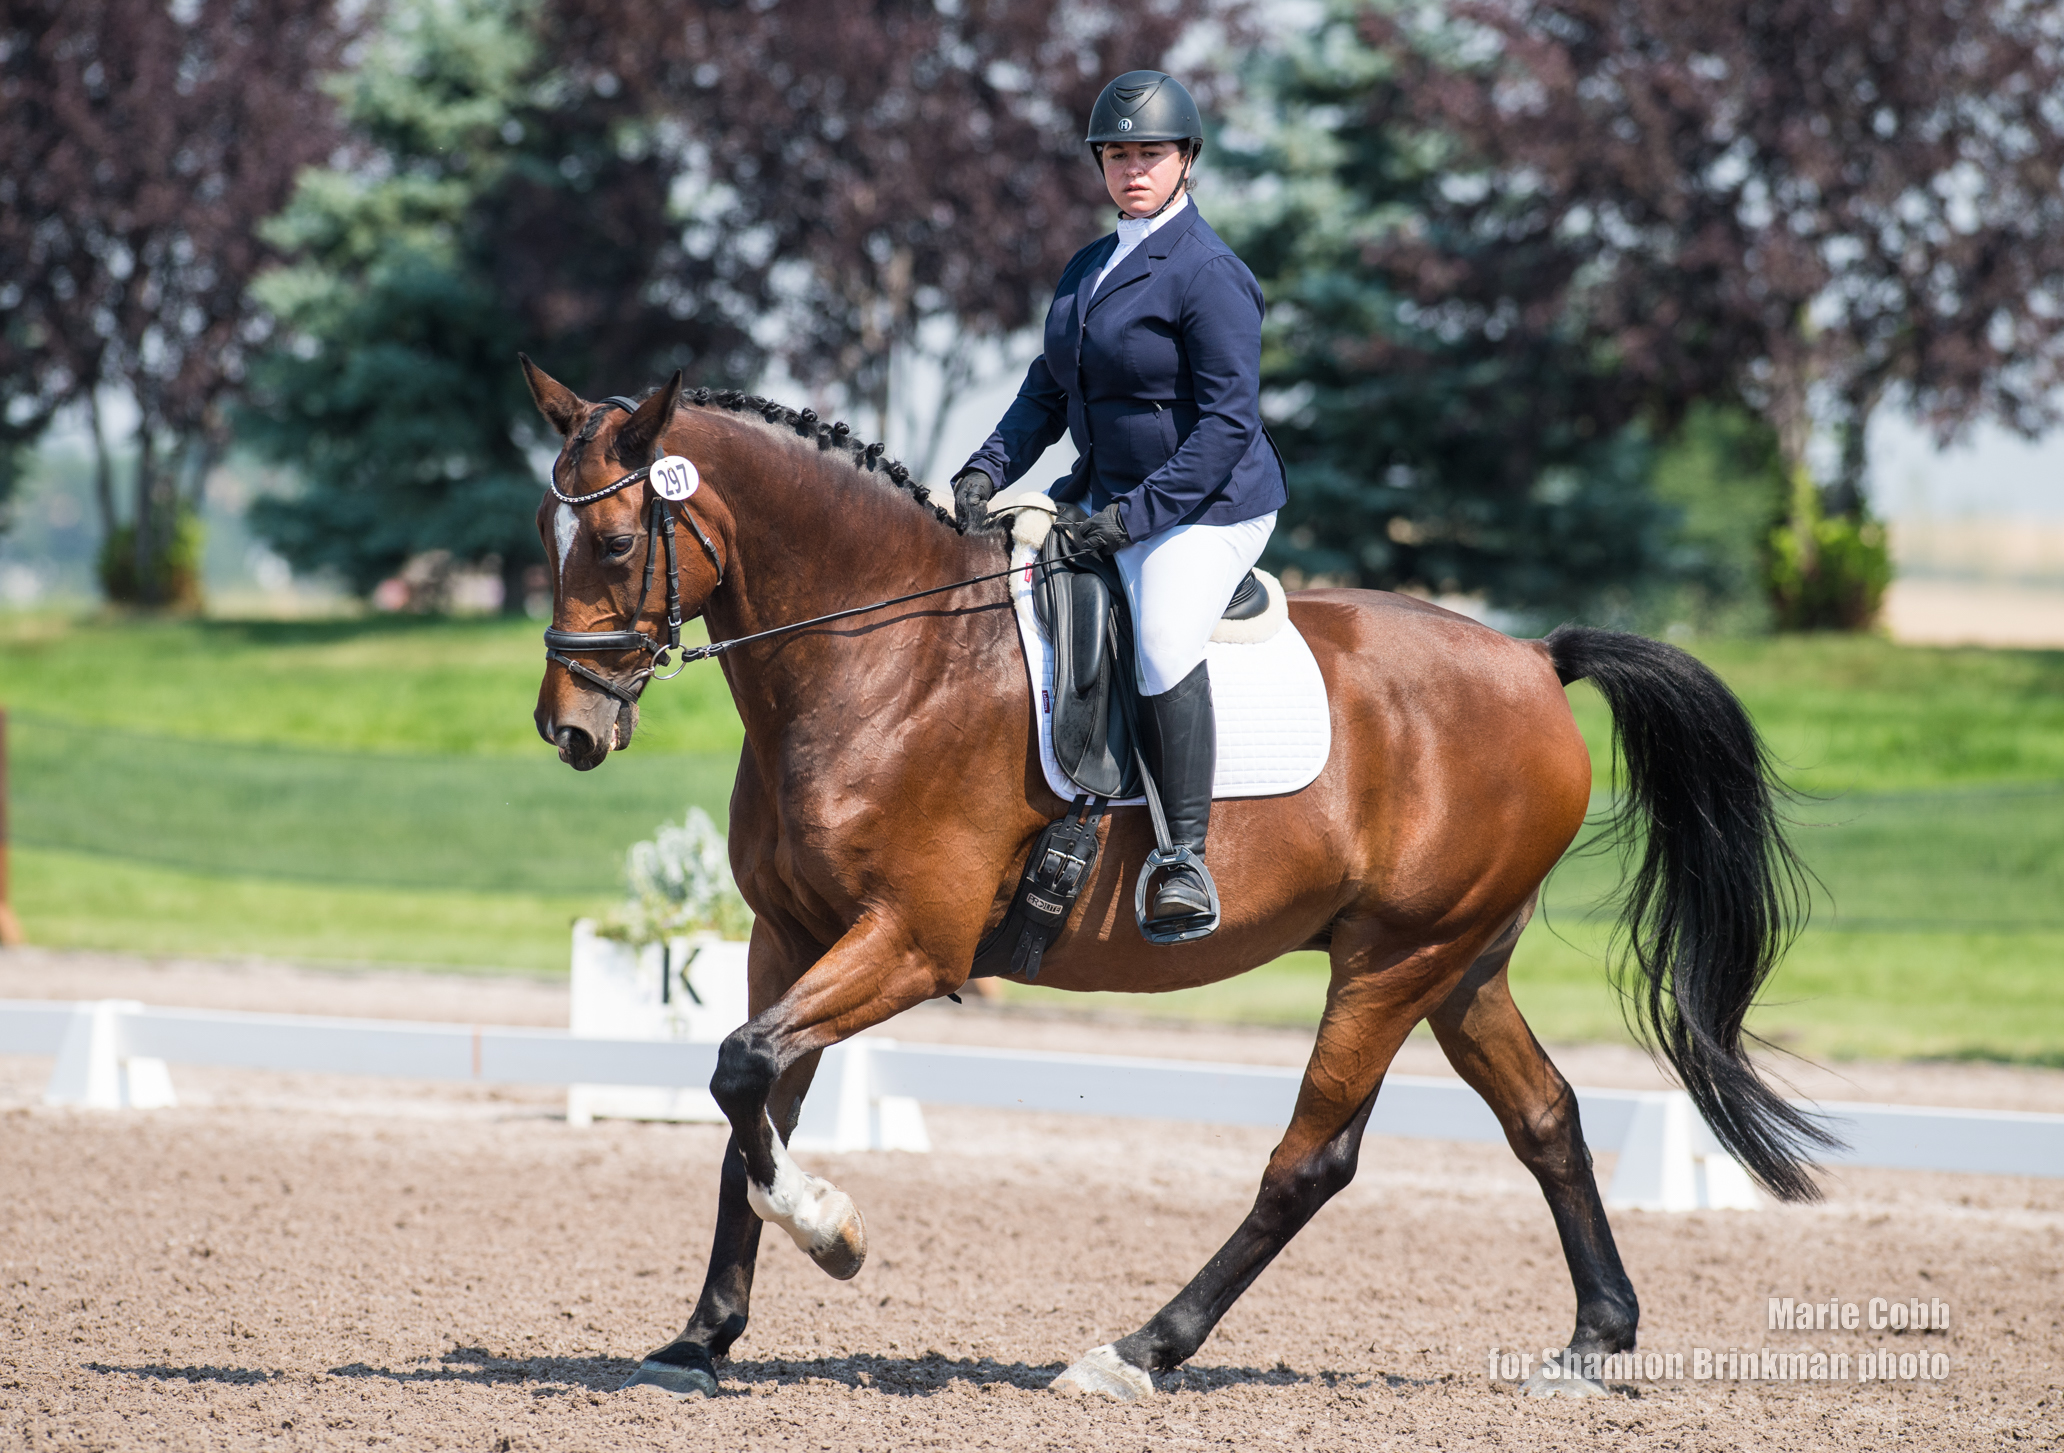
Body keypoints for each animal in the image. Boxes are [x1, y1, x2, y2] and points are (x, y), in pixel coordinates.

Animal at [520, 357, 1824, 1403]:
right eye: (546, 537)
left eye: (619, 543)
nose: (568, 730)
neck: (885, 660)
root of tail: (1536, 660)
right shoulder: (787, 935)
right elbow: (751, 1109)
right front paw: (698, 1340)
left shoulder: (911, 942)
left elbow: (745, 1073)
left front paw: (832, 1232)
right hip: (1462, 964)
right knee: (1545, 1119)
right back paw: (1594, 1342)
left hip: (1392, 957)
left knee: (1311, 1161)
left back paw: (1139, 1350)